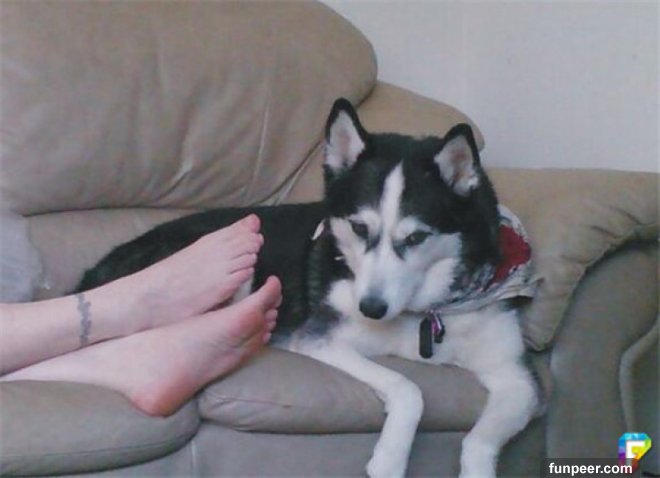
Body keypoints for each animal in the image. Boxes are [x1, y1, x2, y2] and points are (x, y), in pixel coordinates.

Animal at [78, 98, 540, 478]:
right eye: (359, 228)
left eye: (416, 238)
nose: (371, 308)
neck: (427, 312)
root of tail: (94, 272)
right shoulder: (319, 337)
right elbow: (409, 387)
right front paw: (389, 459)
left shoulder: (517, 378)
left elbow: (480, 439)